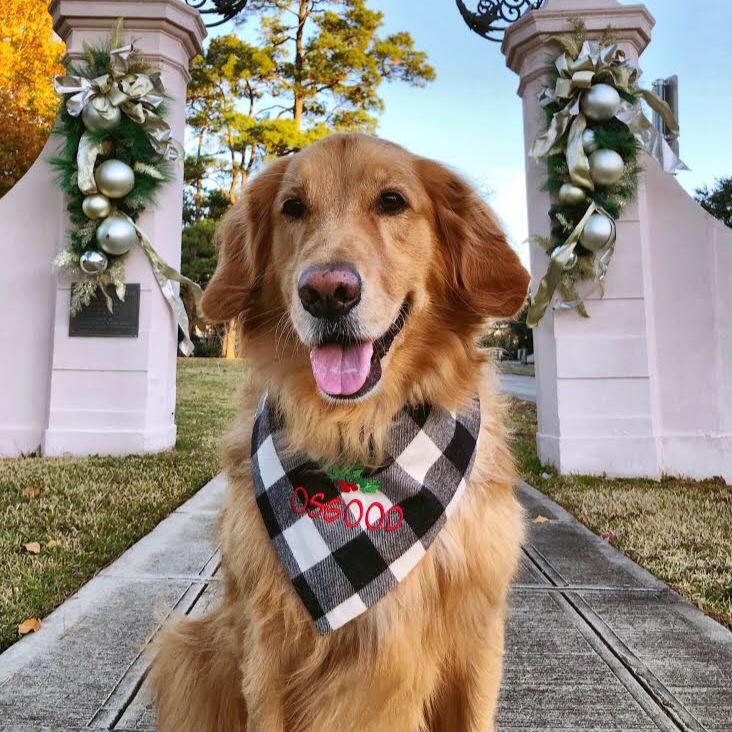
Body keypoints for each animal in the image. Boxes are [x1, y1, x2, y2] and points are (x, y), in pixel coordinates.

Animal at [153, 133, 532, 732]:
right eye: (292, 208)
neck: (359, 434)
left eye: (393, 201)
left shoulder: (477, 633)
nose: (327, 292)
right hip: (192, 646)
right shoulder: (268, 639)